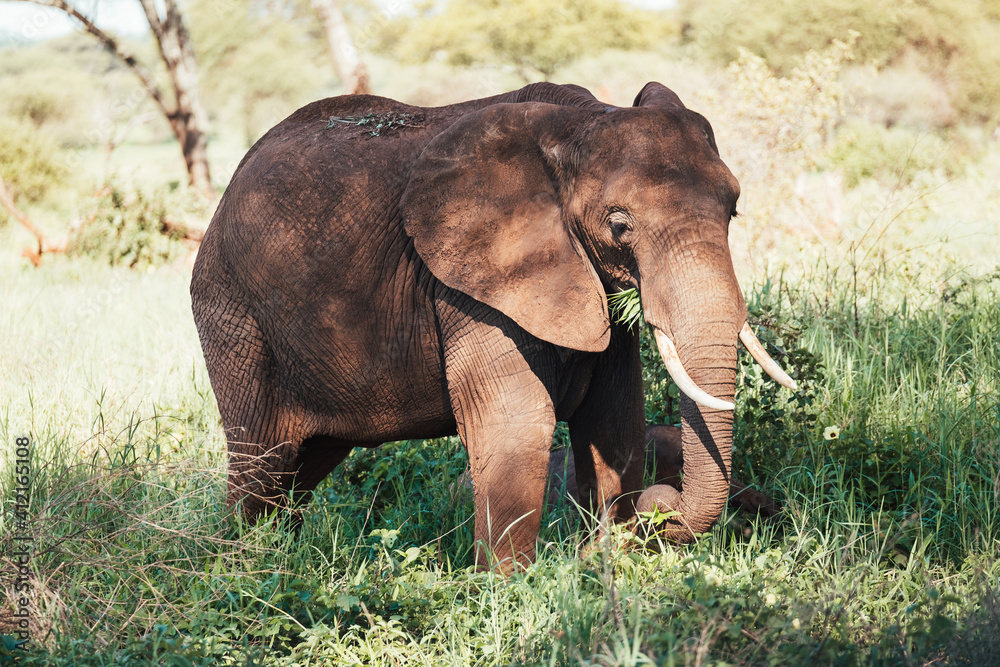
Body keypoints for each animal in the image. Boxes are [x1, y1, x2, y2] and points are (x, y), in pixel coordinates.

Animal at [190, 81, 795, 570]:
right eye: (620, 225)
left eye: (733, 210)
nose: (658, 511)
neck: (580, 123)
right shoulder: (470, 283)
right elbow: (517, 420)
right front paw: (514, 590)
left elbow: (614, 417)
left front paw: (603, 565)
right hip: (232, 317)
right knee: (262, 468)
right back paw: (248, 569)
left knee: (301, 470)